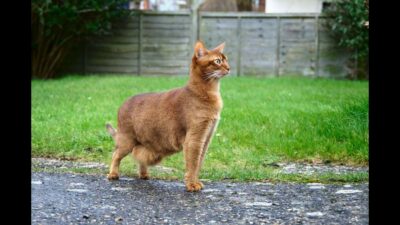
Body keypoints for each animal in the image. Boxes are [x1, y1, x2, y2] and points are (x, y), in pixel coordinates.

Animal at [106, 40, 230, 192]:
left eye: (226, 59)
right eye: (217, 61)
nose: (229, 68)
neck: (208, 93)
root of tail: (123, 103)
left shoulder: (206, 138)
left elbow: (199, 163)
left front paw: (195, 182)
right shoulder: (194, 138)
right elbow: (193, 163)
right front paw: (192, 184)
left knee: (139, 156)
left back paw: (144, 174)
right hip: (127, 140)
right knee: (116, 154)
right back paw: (113, 174)